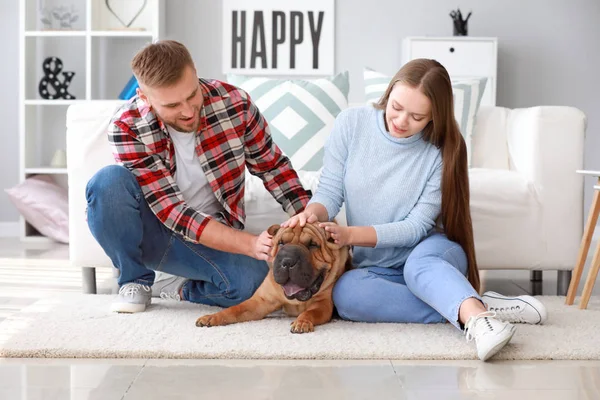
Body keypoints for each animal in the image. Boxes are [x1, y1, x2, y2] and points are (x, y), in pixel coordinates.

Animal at [196, 222, 352, 334]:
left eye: (313, 245)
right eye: (281, 243)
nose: (288, 261)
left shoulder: (322, 304)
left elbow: (310, 312)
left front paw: (302, 322)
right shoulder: (261, 301)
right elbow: (235, 309)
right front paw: (212, 317)